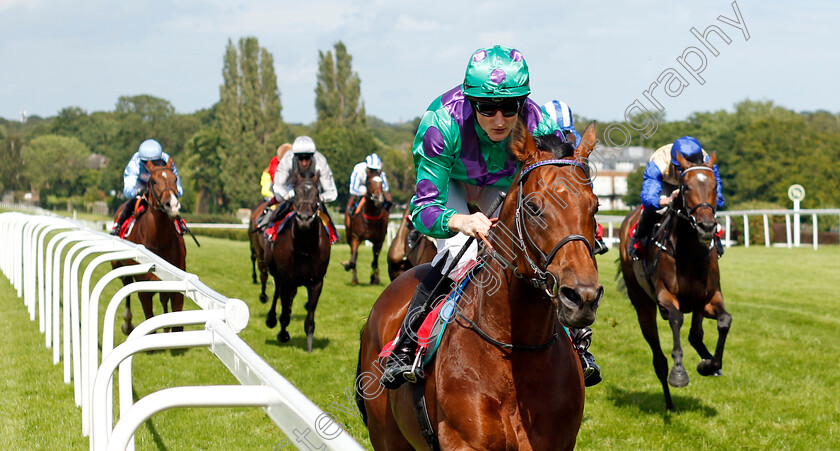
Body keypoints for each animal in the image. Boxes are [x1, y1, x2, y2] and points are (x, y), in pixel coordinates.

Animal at [111, 157, 185, 334]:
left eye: (175, 179)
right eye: (154, 181)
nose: (172, 205)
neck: (158, 242)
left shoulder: (175, 285)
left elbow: (175, 318)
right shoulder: (144, 289)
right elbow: (150, 319)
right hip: (118, 265)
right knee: (126, 284)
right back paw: (127, 324)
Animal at [266, 171, 332, 352]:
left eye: (317, 194)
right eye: (296, 193)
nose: (304, 219)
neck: (305, 246)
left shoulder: (316, 282)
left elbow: (309, 316)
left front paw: (309, 346)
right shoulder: (286, 279)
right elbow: (284, 310)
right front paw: (283, 334)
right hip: (276, 272)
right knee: (277, 294)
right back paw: (271, 319)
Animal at [354, 122, 604, 450]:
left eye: (595, 206)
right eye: (533, 207)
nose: (582, 297)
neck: (517, 350)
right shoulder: (464, 442)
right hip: (385, 436)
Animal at [612, 152, 732, 414]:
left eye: (715, 185)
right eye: (686, 187)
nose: (707, 226)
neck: (688, 249)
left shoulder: (709, 297)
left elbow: (724, 321)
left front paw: (710, 364)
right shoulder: (666, 296)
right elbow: (676, 319)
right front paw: (679, 373)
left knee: (695, 334)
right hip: (643, 305)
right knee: (658, 358)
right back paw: (669, 403)